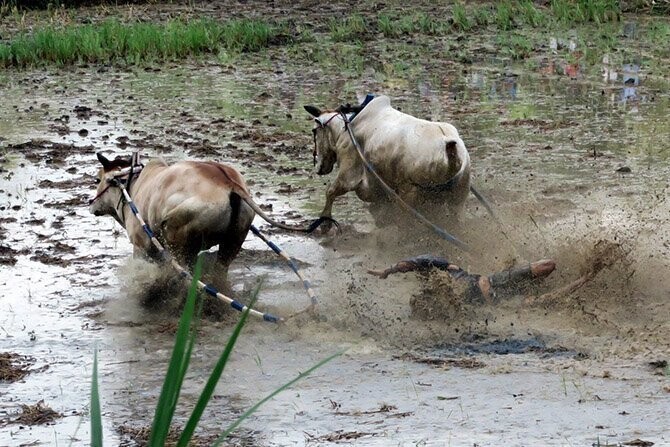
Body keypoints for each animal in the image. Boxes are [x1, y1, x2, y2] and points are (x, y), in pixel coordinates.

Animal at [306, 94, 472, 228]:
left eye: (314, 130)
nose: (319, 168)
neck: (347, 126)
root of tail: (449, 146)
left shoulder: (348, 175)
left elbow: (330, 192)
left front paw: (325, 223)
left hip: (410, 194)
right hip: (457, 201)